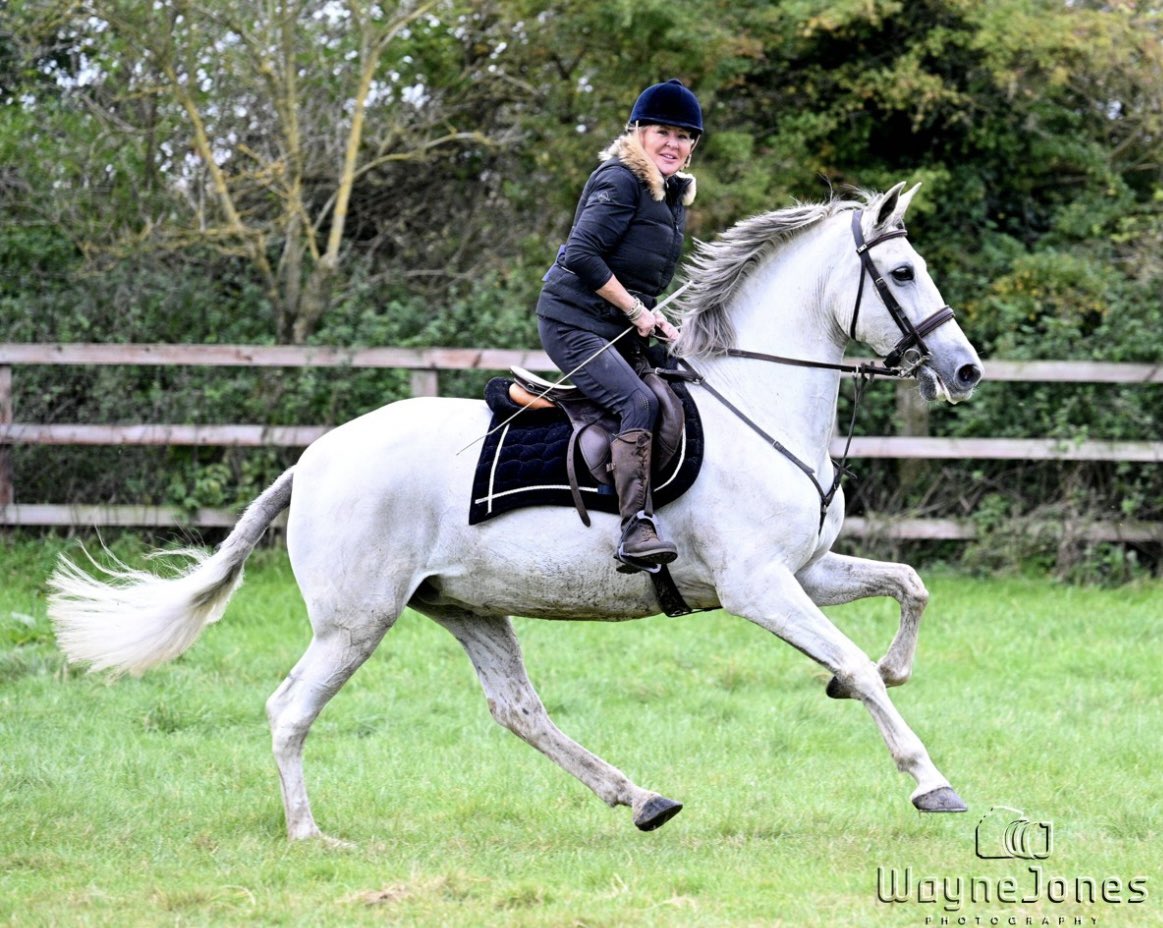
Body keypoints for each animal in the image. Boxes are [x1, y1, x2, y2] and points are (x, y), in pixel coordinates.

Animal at [48, 182, 983, 842]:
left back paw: (640, 798)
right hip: (357, 620)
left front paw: (887, 671)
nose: (966, 369)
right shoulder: (758, 587)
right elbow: (858, 664)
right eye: (903, 273)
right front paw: (930, 782)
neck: (757, 401)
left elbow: (908, 586)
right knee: (290, 709)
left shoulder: (806, 572)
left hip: (465, 605)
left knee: (518, 711)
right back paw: (311, 834)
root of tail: (313, 460)